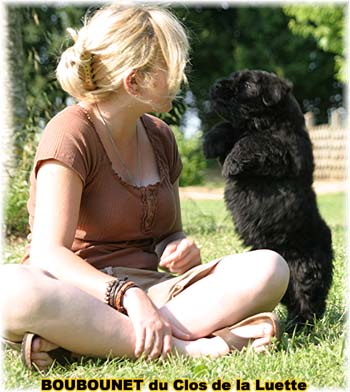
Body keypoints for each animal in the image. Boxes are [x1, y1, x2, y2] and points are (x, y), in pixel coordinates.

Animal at [205, 70, 334, 328]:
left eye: (246, 84)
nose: (215, 86)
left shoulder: (283, 149)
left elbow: (256, 142)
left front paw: (233, 160)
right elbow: (227, 128)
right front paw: (210, 141)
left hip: (306, 269)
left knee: (309, 299)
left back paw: (303, 326)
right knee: (294, 298)